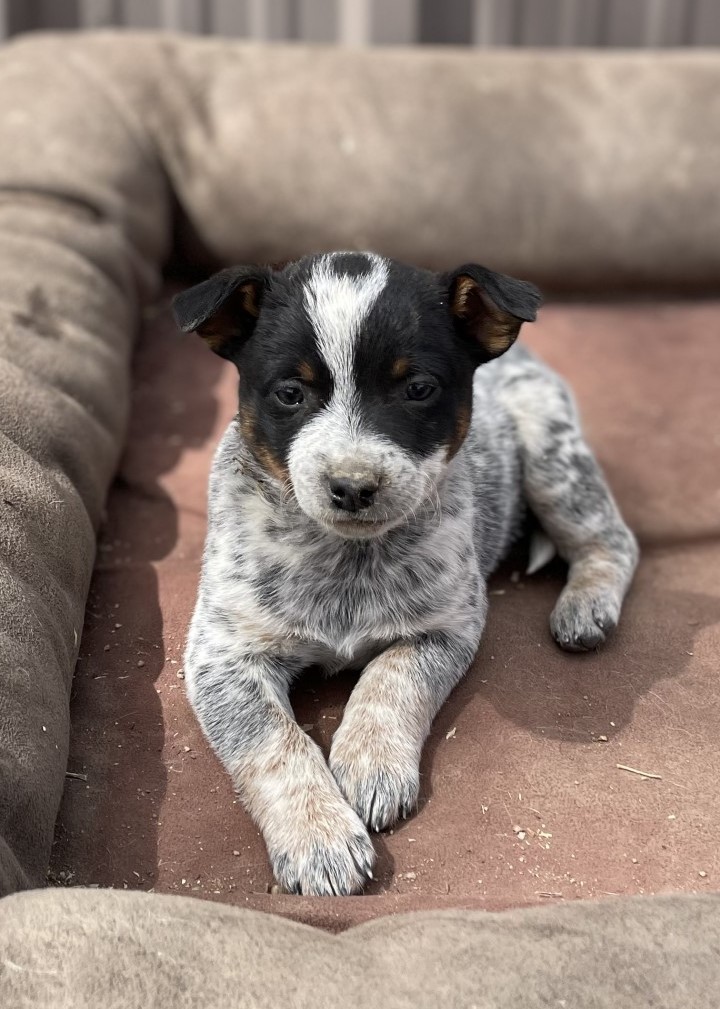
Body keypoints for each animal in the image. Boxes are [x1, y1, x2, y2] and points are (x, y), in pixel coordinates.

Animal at [171, 252, 637, 900]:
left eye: (418, 389)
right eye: (290, 393)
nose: (352, 486)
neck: (346, 559)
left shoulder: (448, 625)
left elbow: (391, 681)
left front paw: (369, 765)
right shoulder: (224, 653)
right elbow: (272, 742)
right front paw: (318, 837)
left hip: (553, 458)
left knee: (613, 539)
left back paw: (586, 606)